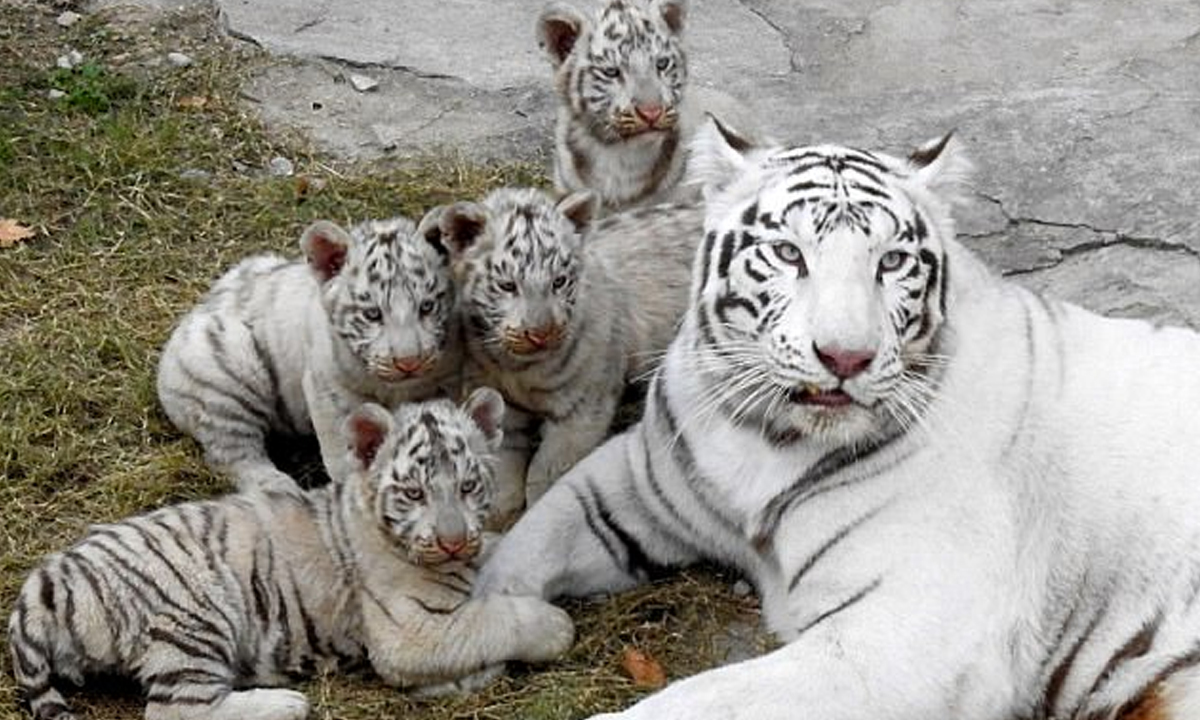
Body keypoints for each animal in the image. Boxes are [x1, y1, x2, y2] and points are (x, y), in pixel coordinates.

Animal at [8, 389, 575, 720]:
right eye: (413, 493)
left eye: (468, 486)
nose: (454, 540)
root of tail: (41, 586)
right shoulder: (410, 632)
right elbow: (493, 620)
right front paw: (553, 628)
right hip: (195, 616)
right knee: (176, 713)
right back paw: (285, 703)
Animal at [156, 211, 461, 493]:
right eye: (372, 314)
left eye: (427, 307)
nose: (409, 363)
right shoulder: (329, 390)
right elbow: (344, 457)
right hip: (228, 375)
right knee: (231, 451)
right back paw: (277, 486)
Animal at [433, 186, 701, 527]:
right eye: (507, 286)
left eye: (559, 281)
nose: (541, 333)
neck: (518, 366)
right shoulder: (501, 401)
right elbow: (503, 457)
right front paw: (499, 511)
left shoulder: (580, 412)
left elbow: (546, 470)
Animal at [475, 117, 1200, 720]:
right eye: (789, 254)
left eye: (892, 261)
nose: (846, 356)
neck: (765, 438)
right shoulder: (634, 483)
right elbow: (531, 536)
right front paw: (485, 623)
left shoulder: (903, 637)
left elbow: (701, 700)